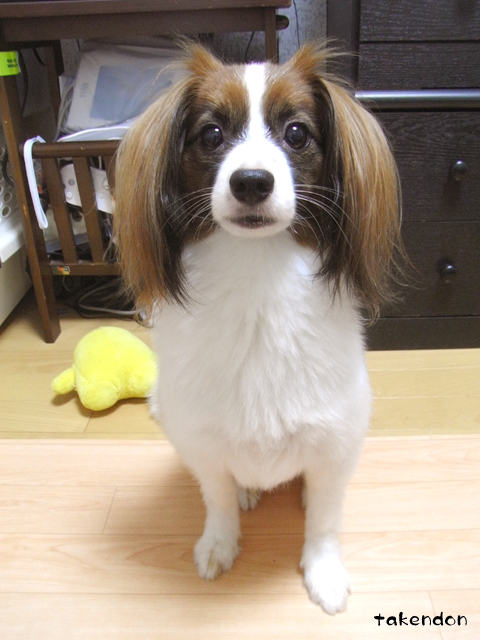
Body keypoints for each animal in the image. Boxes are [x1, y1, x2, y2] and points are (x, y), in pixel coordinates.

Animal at [113, 43, 402, 614]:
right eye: (210, 134)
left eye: (296, 133)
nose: (251, 181)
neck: (256, 281)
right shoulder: (200, 442)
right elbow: (217, 498)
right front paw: (219, 544)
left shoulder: (337, 439)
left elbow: (325, 520)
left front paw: (323, 571)